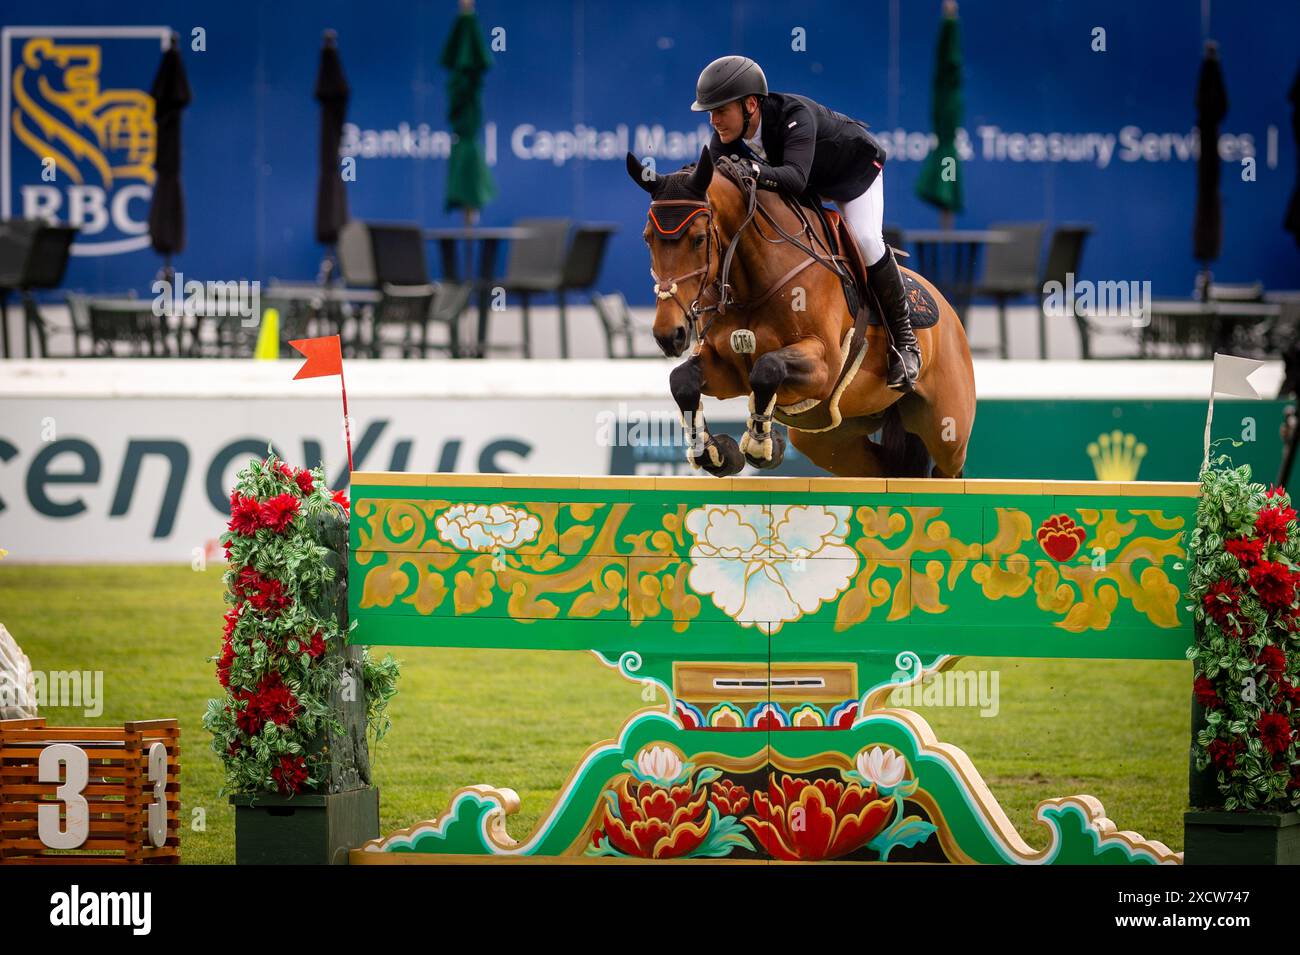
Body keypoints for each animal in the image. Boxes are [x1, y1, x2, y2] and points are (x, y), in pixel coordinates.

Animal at [626, 146, 977, 478]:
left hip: (947, 430)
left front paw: (761, 447)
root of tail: (949, 314)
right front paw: (716, 454)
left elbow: (767, 369)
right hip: (829, 437)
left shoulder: (825, 367)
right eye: (647, 239)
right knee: (885, 472)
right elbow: (682, 380)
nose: (668, 335)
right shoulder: (728, 369)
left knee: (947, 468)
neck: (752, 284)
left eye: (699, 239)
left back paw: (907, 360)